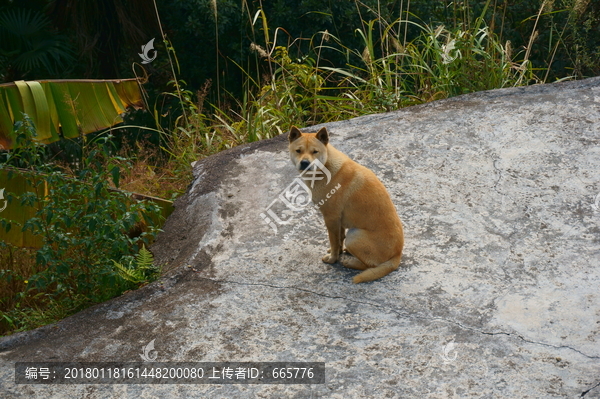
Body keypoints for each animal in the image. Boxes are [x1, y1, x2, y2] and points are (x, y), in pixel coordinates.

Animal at [288, 126, 406, 282]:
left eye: (315, 151)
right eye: (298, 150)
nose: (305, 163)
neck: (326, 167)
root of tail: (397, 256)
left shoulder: (331, 218)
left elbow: (334, 240)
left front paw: (333, 258)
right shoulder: (339, 221)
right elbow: (339, 239)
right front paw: (337, 251)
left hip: (354, 235)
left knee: (369, 265)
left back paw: (350, 262)